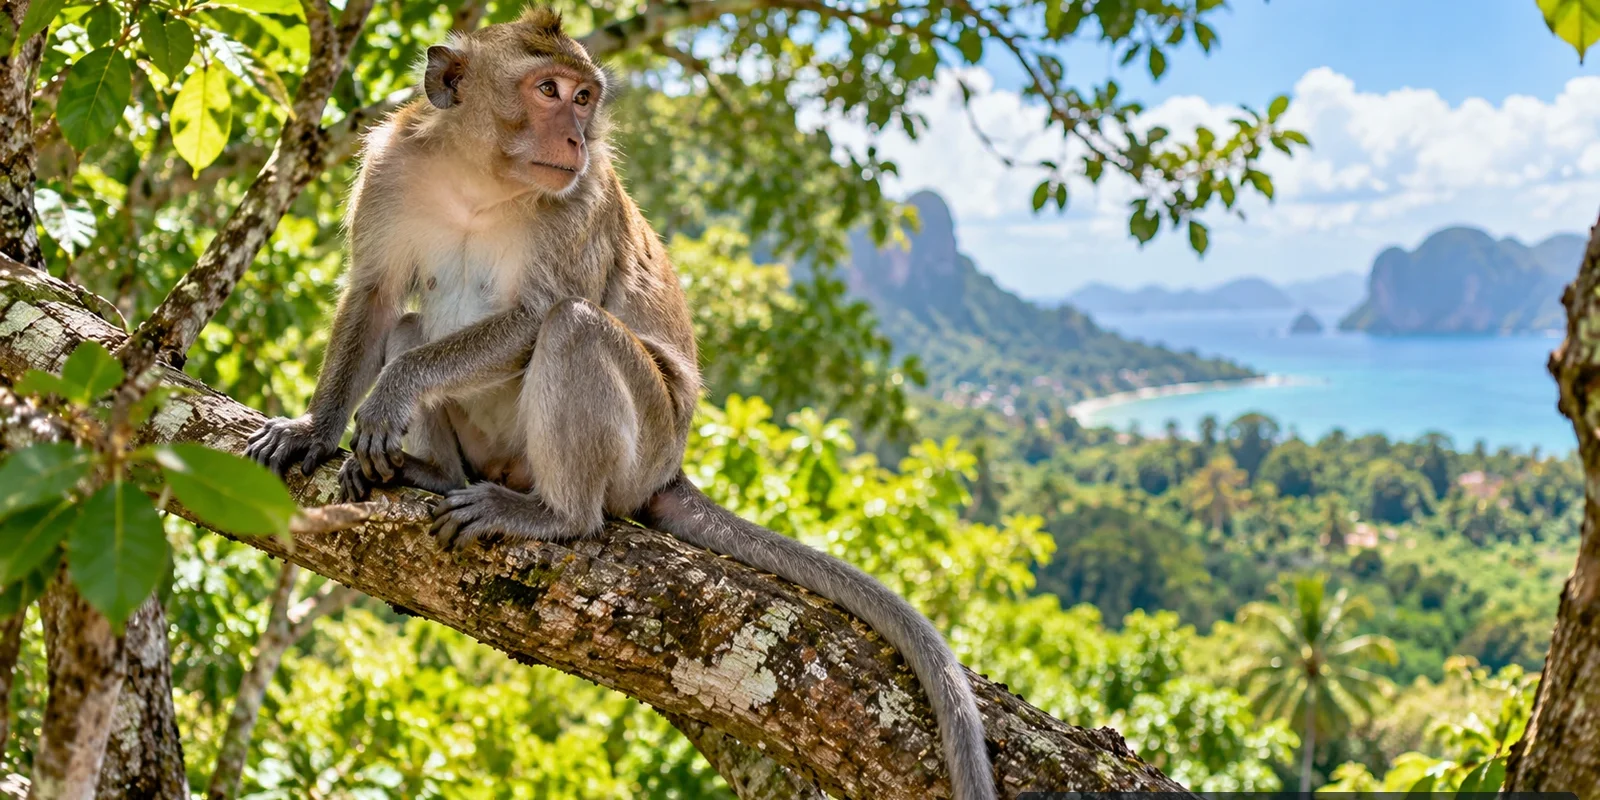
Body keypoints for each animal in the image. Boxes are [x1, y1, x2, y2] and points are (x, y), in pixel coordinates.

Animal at [243, 9, 994, 799]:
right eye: (548, 90)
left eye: (584, 97)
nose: (577, 137)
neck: (479, 177)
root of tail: (671, 469)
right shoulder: (392, 172)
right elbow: (377, 296)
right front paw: (312, 430)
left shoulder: (581, 200)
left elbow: (534, 315)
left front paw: (389, 395)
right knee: (416, 330)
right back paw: (434, 475)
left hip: (642, 445)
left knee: (573, 328)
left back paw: (555, 515)